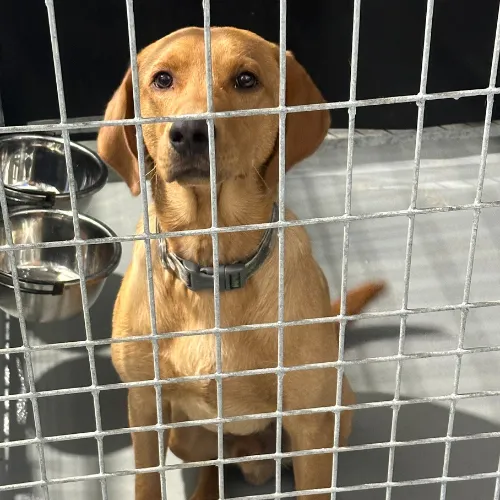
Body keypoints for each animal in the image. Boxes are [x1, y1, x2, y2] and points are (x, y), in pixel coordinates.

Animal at [97, 27, 378, 500]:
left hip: (338, 414)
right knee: (215, 465)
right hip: (186, 435)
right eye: (162, 79)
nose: (190, 131)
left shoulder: (310, 425)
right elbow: (147, 482)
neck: (211, 266)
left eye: (246, 79)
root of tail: (254, 457)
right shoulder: (145, 407)